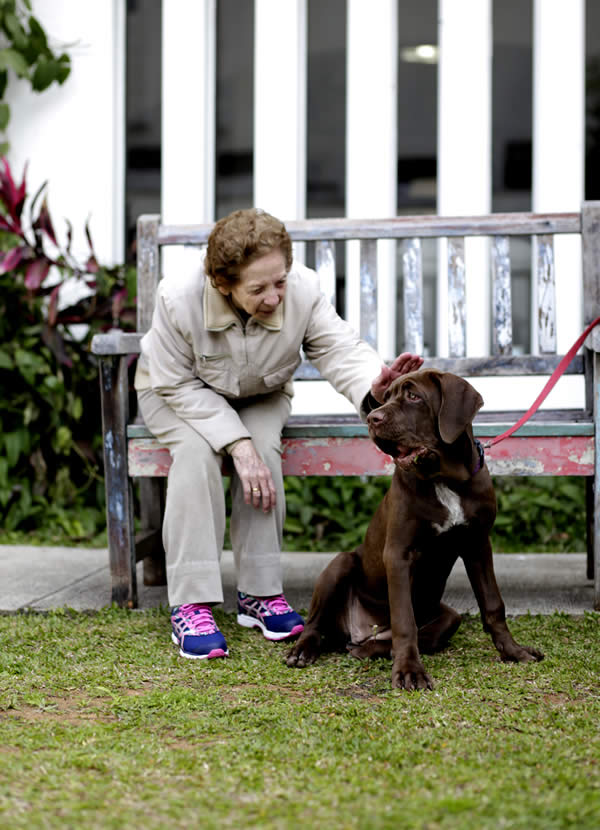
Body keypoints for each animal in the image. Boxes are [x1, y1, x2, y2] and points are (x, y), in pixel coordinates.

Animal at [286, 370, 544, 688]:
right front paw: (409, 670)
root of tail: (360, 631)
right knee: (314, 624)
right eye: (386, 398)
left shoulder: (478, 544)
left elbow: (493, 604)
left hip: (447, 614)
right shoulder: (399, 554)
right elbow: (404, 620)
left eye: (413, 396)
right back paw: (303, 650)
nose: (372, 418)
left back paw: (369, 649)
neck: (445, 478)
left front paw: (514, 651)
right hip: (341, 564)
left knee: (420, 634)